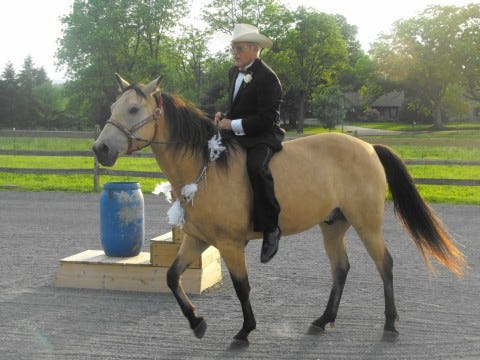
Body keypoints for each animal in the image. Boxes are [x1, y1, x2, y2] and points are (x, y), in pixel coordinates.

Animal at [93, 74, 464, 348]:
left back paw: (389, 325)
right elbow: (171, 277)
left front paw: (245, 331)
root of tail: (368, 147)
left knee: (384, 264)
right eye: (113, 106)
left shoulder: (230, 244)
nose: (100, 148)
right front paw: (197, 322)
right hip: (333, 225)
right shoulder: (197, 239)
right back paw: (323, 321)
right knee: (341, 268)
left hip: (367, 223)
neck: (206, 165)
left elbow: (242, 286)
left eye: (133, 109)